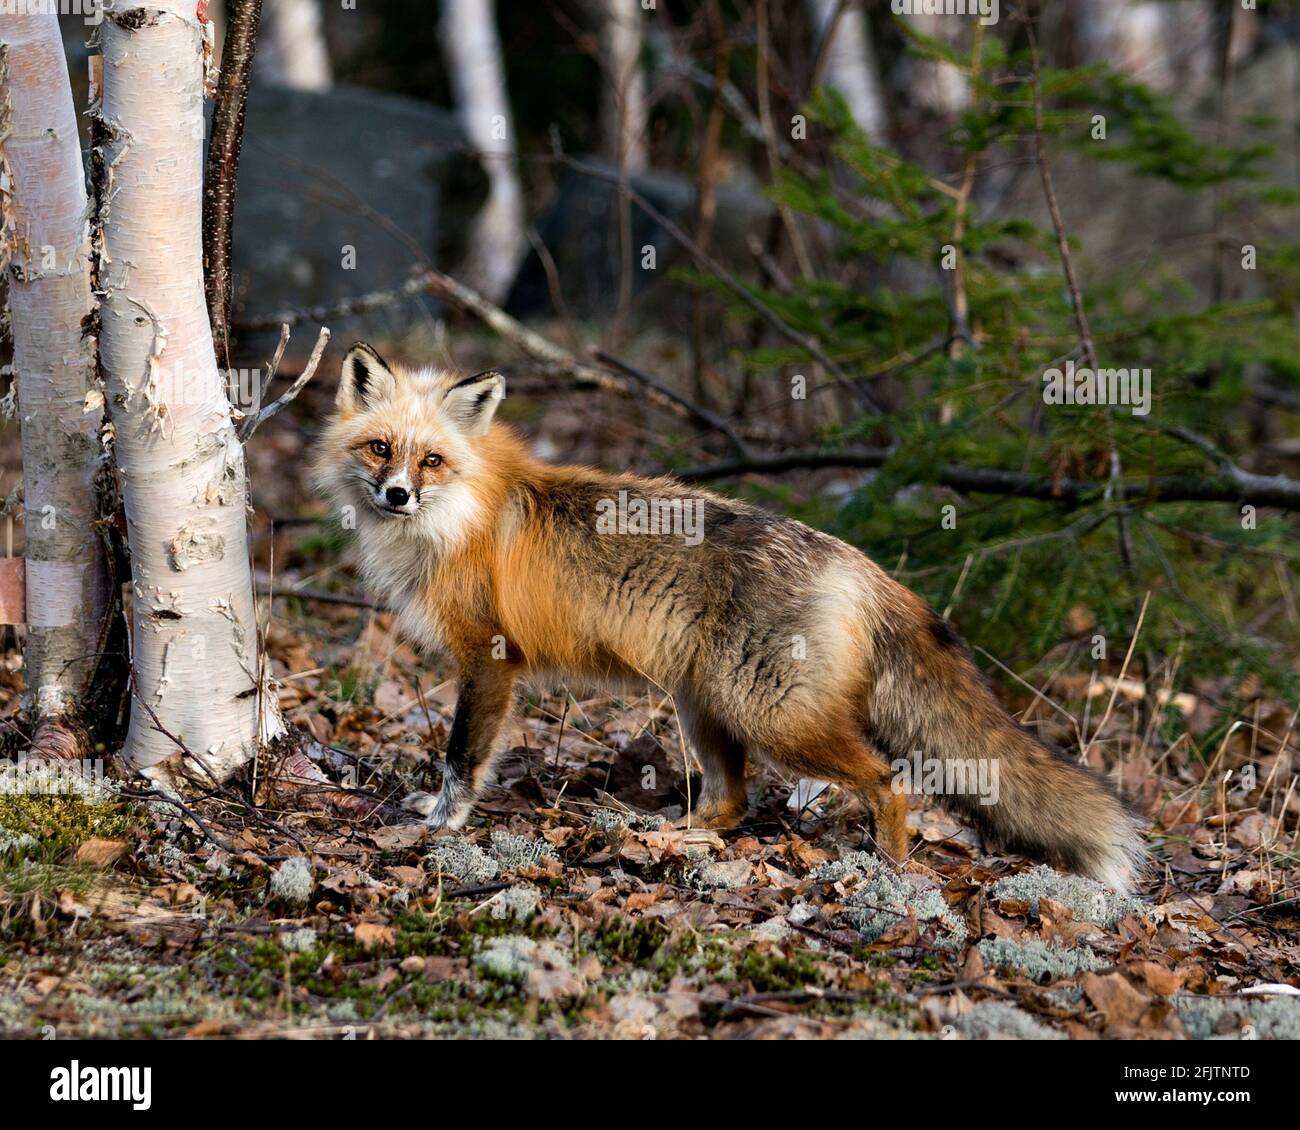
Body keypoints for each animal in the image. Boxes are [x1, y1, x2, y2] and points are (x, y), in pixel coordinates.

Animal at [319, 343, 1144, 889]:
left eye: (432, 461)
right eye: (380, 448)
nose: (396, 494)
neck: (461, 517)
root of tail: (861, 564)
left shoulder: (490, 660)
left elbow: (463, 756)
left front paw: (440, 825)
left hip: (770, 716)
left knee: (885, 777)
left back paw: (890, 864)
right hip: (705, 707)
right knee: (731, 804)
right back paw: (668, 837)